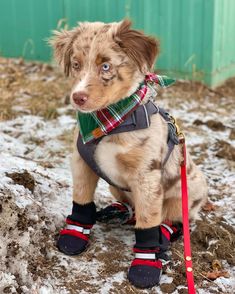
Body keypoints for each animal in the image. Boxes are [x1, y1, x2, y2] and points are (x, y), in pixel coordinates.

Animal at [50, 19, 207, 288]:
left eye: (105, 66)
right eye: (76, 64)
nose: (77, 98)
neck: (110, 124)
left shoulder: (147, 176)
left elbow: (148, 223)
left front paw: (145, 266)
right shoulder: (81, 162)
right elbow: (81, 200)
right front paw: (74, 235)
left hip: (189, 190)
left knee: (172, 219)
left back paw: (165, 233)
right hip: (115, 186)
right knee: (129, 204)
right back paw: (117, 210)